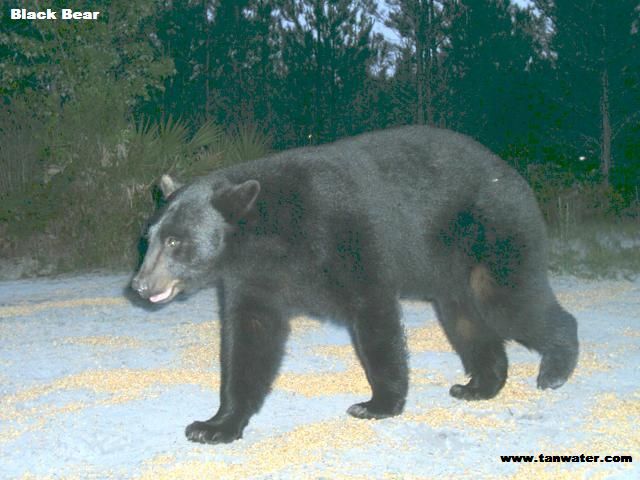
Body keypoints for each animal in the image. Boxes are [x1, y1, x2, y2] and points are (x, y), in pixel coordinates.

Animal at [131, 125, 580, 444]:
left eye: (175, 242)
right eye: (149, 237)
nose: (139, 284)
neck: (273, 234)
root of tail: (514, 176)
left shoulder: (346, 235)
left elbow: (375, 317)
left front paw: (377, 404)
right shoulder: (254, 278)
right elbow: (250, 339)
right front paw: (215, 425)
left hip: (495, 232)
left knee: (511, 302)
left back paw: (555, 369)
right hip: (451, 270)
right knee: (466, 321)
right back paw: (478, 386)